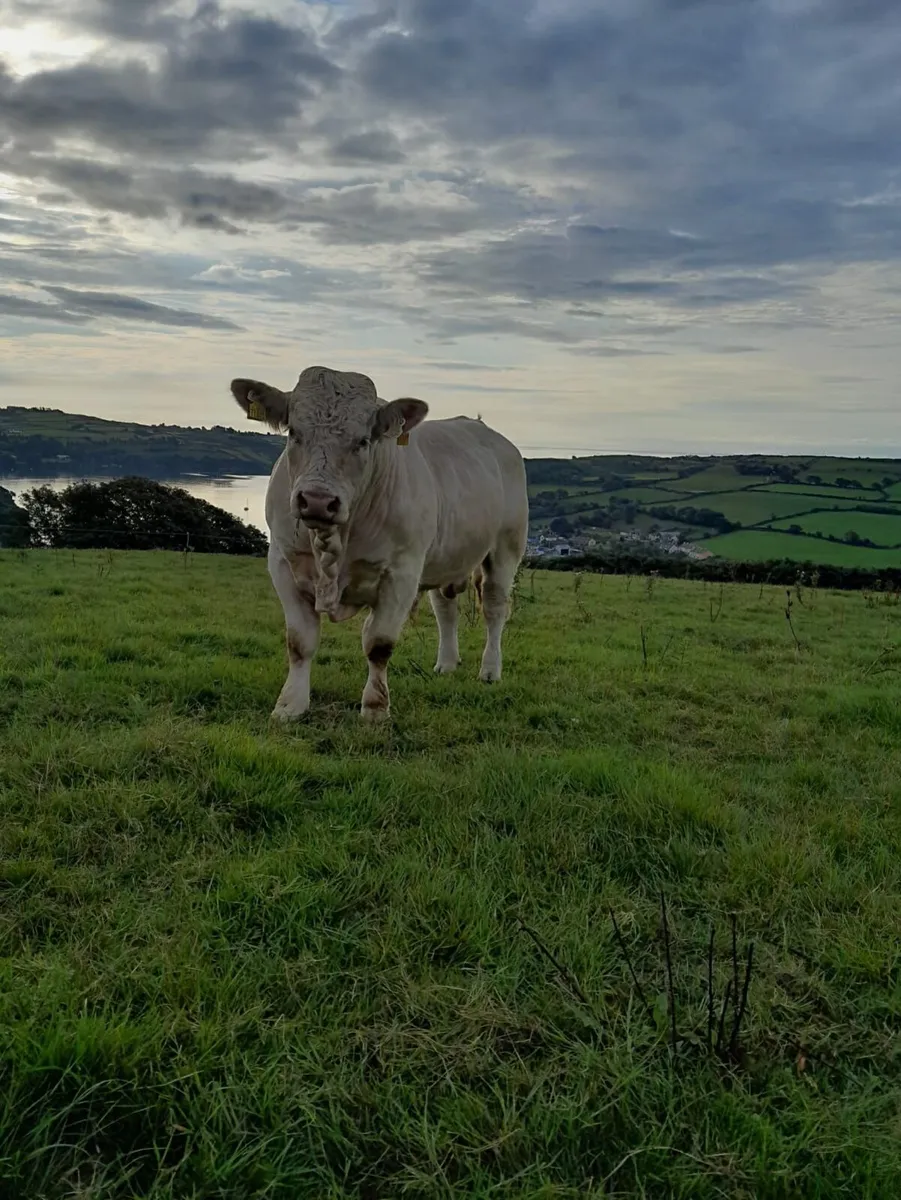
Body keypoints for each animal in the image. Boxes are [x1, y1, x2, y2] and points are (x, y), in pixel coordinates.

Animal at [229, 365, 529, 723]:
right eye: (293, 433)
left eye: (363, 441)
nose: (317, 501)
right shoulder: (283, 563)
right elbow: (299, 642)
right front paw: (290, 706)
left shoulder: (402, 573)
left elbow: (379, 644)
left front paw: (375, 708)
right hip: (445, 557)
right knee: (445, 609)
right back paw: (446, 663)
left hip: (506, 548)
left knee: (495, 608)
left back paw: (490, 671)